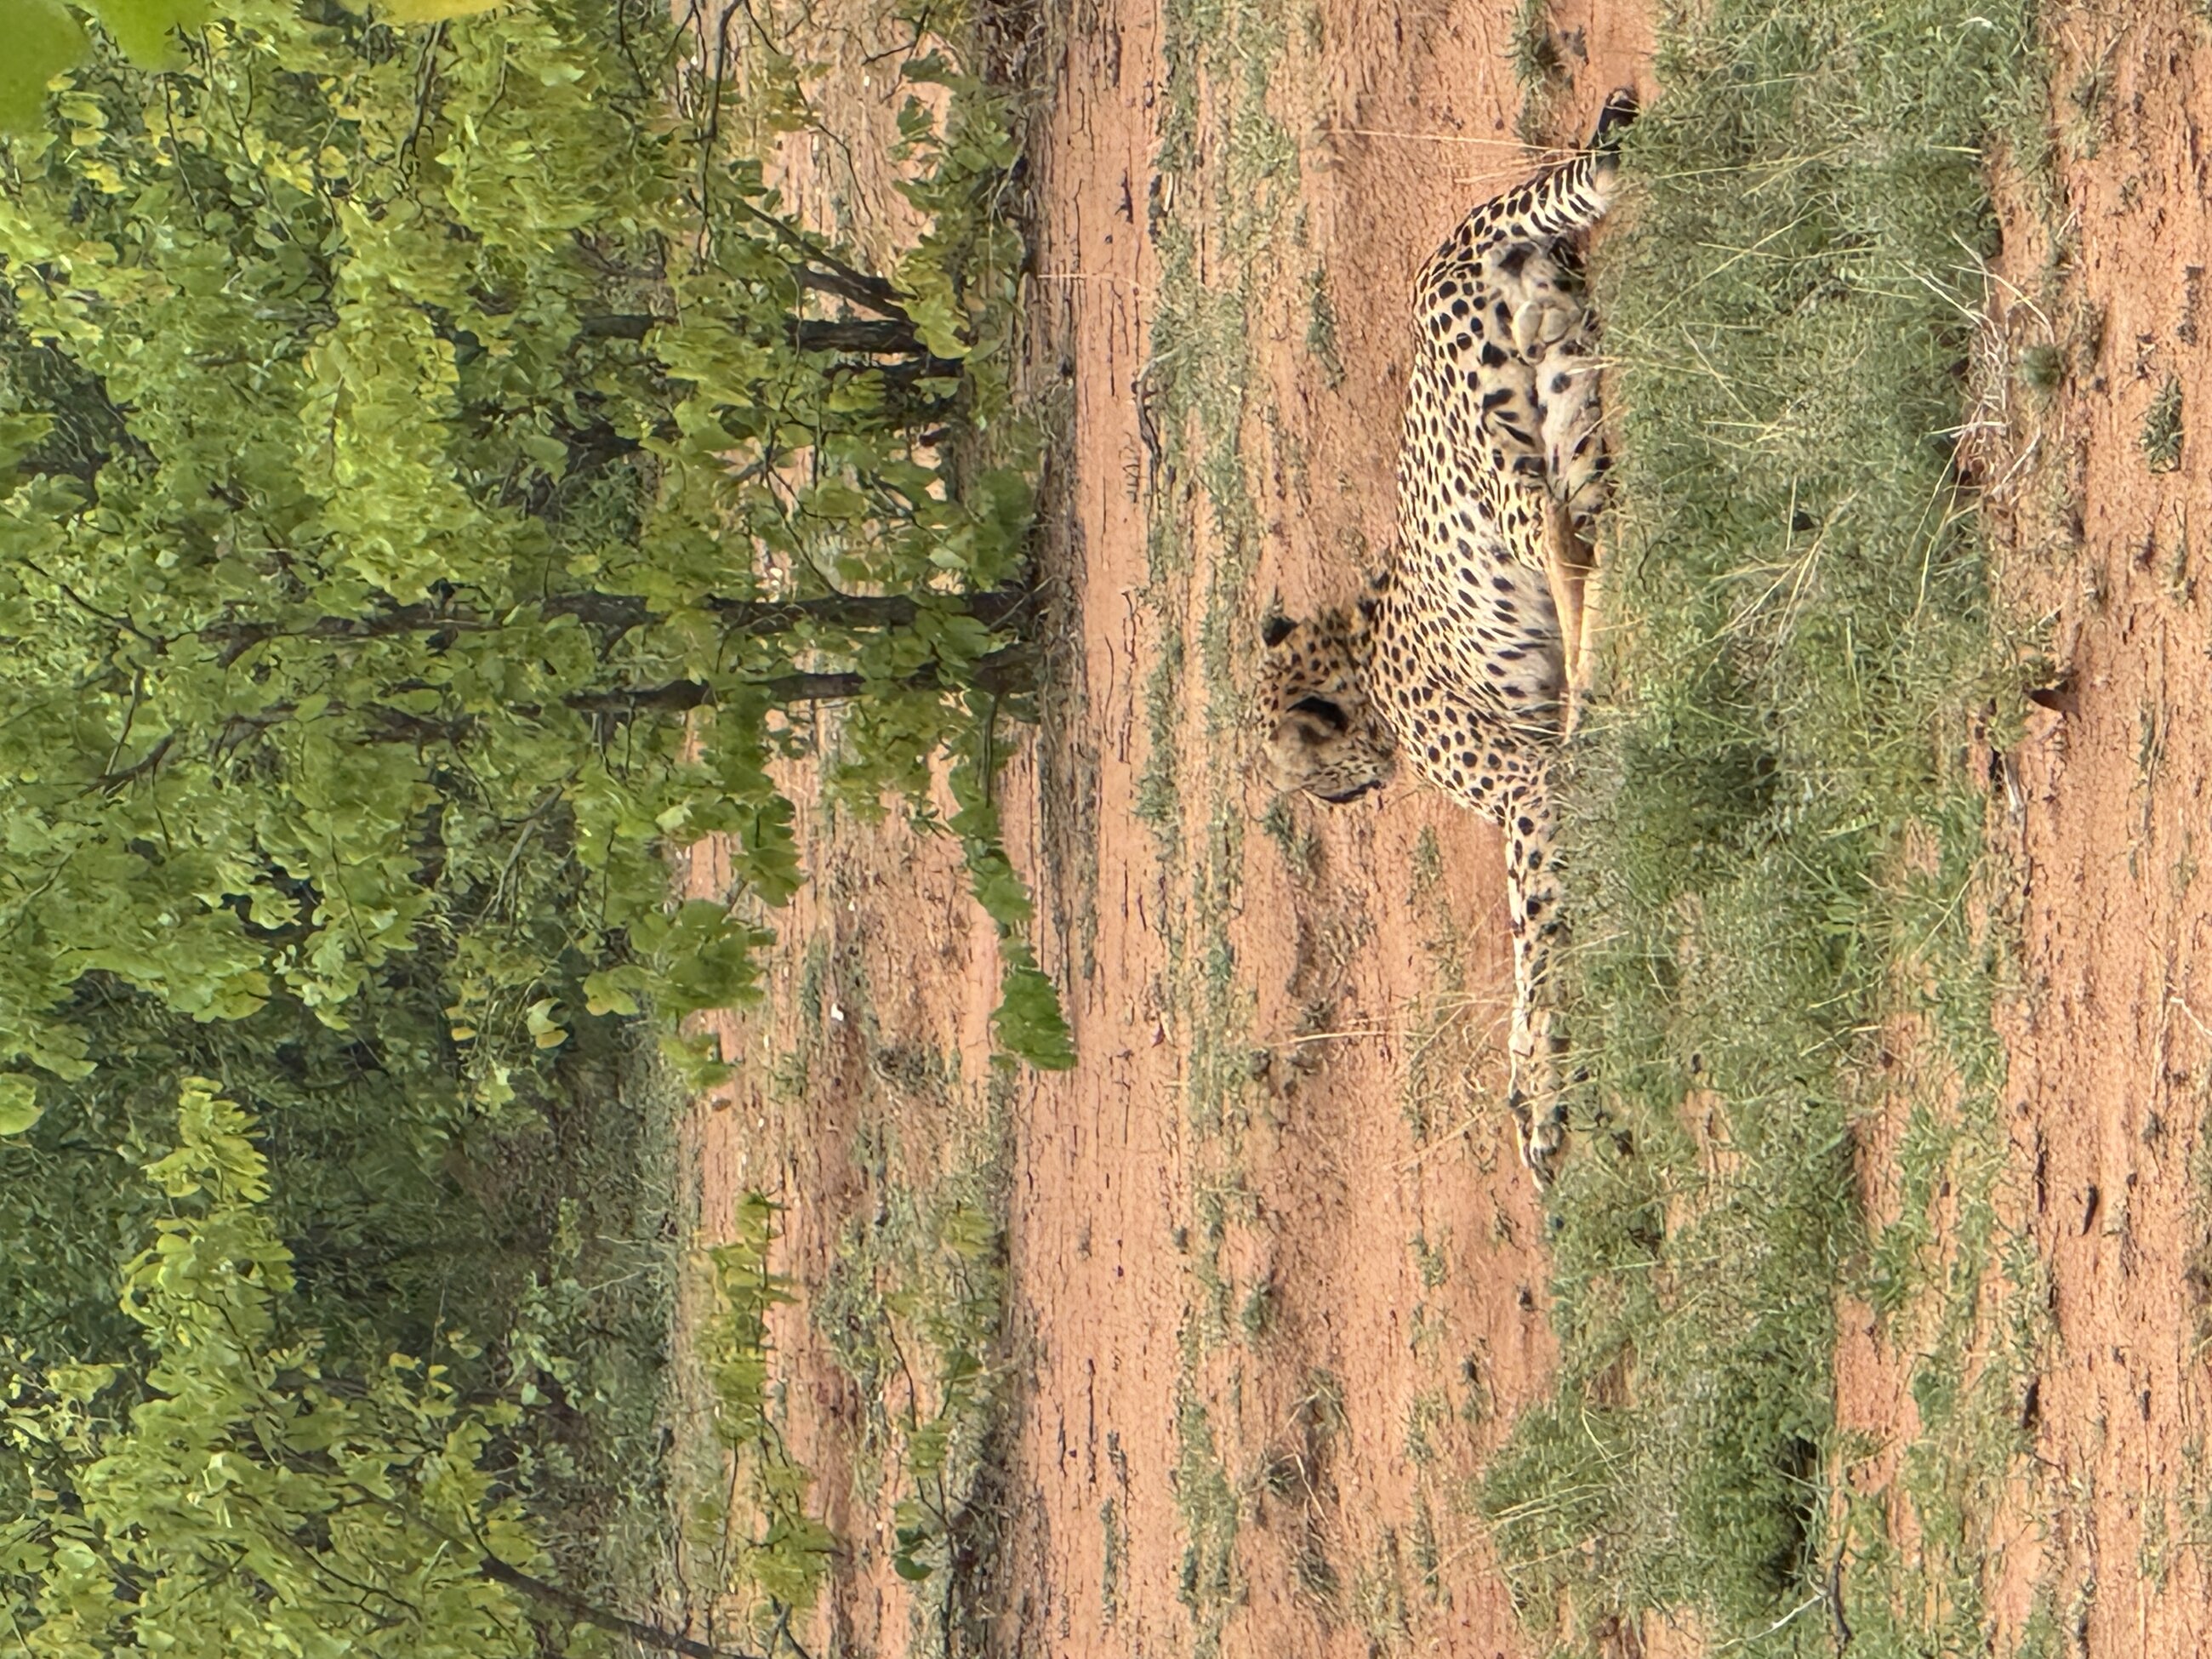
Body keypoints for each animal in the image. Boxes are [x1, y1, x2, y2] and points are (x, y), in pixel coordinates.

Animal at [1258, 89, 1638, 1190]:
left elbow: (1531, 929)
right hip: (1566, 379)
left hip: (1492, 453)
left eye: (1304, 774)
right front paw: (1534, 1086)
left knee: (1561, 536)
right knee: (1601, 512)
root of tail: (1441, 255)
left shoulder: (1521, 791)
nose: (1331, 802)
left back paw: (1592, 690)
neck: (1356, 645)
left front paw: (1540, 1091)